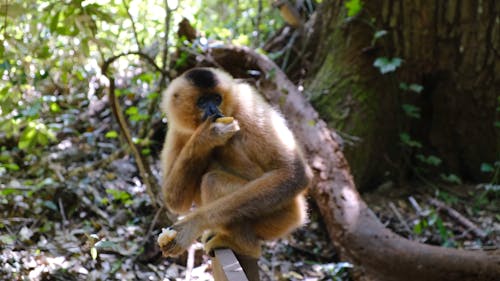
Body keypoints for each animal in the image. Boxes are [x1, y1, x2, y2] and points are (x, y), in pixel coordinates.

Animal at [158, 66, 310, 258]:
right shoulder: (177, 128)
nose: (213, 109)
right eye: (202, 101)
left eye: (217, 98)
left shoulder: (247, 103)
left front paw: (192, 225)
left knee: (213, 179)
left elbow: (294, 173)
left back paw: (244, 246)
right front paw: (207, 136)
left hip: (281, 215)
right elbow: (175, 200)